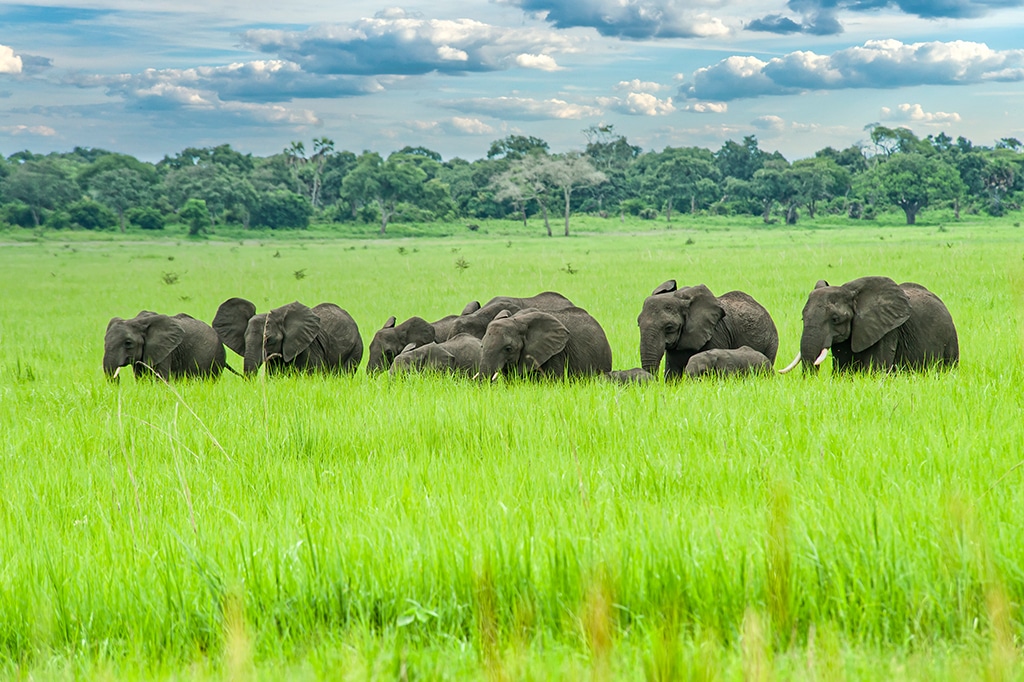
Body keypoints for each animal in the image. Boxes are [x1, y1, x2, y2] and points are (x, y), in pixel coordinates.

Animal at [779, 277, 959, 374]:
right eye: (803, 319)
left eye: (835, 319)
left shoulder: (887, 330)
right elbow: (843, 370)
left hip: (950, 338)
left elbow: (876, 370)